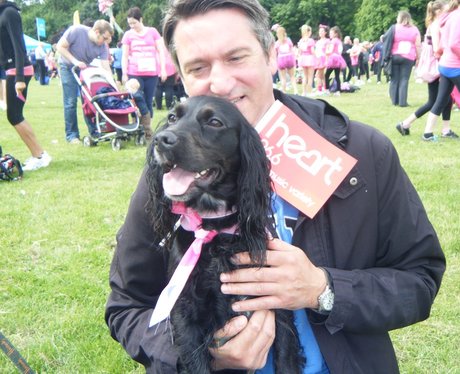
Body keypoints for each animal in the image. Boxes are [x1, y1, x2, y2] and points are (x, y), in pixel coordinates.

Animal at [147, 96, 306, 374]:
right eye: (172, 117)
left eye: (214, 122)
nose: (161, 139)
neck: (215, 230)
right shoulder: (185, 313)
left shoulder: (275, 302)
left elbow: (287, 358)